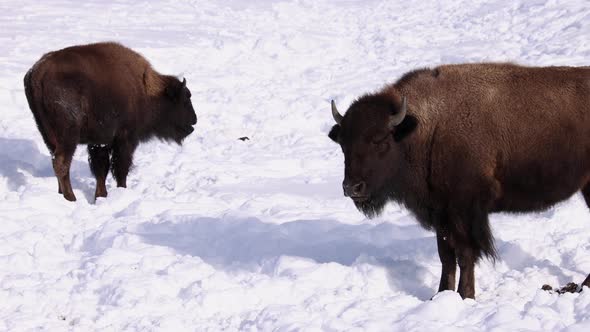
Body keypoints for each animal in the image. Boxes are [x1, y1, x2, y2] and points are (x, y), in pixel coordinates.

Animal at [24, 42, 198, 202]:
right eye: (184, 99)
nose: (194, 120)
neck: (146, 90)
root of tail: (38, 73)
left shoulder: (99, 142)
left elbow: (101, 169)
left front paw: (101, 196)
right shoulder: (125, 139)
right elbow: (121, 168)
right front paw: (121, 190)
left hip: (48, 135)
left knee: (56, 159)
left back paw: (61, 194)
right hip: (68, 137)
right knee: (61, 162)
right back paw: (71, 198)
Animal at [328, 62, 590, 298]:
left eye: (380, 139)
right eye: (343, 143)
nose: (352, 187)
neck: (426, 128)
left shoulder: (464, 212)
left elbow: (465, 255)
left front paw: (466, 295)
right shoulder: (440, 214)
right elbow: (446, 256)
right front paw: (440, 295)